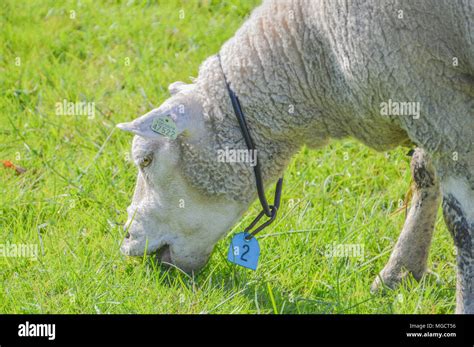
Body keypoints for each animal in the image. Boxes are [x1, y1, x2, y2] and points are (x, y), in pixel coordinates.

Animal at [115, 0, 474, 314]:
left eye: (145, 160)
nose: (127, 240)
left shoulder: (435, 96)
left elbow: (462, 228)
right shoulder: (427, 101)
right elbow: (423, 171)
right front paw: (399, 273)